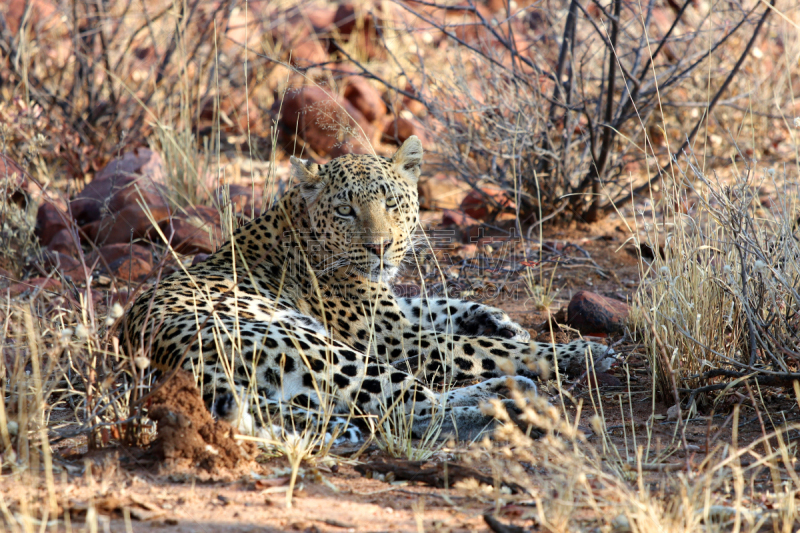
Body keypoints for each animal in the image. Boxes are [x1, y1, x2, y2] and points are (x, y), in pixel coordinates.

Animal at [123, 135, 612, 442]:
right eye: (345, 210)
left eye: (391, 203)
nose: (380, 247)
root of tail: (169, 365)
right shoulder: (393, 338)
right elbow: (479, 347)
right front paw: (579, 351)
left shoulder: (391, 313)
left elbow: (439, 303)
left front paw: (500, 320)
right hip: (323, 351)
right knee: (412, 409)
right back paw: (508, 405)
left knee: (403, 405)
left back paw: (509, 392)